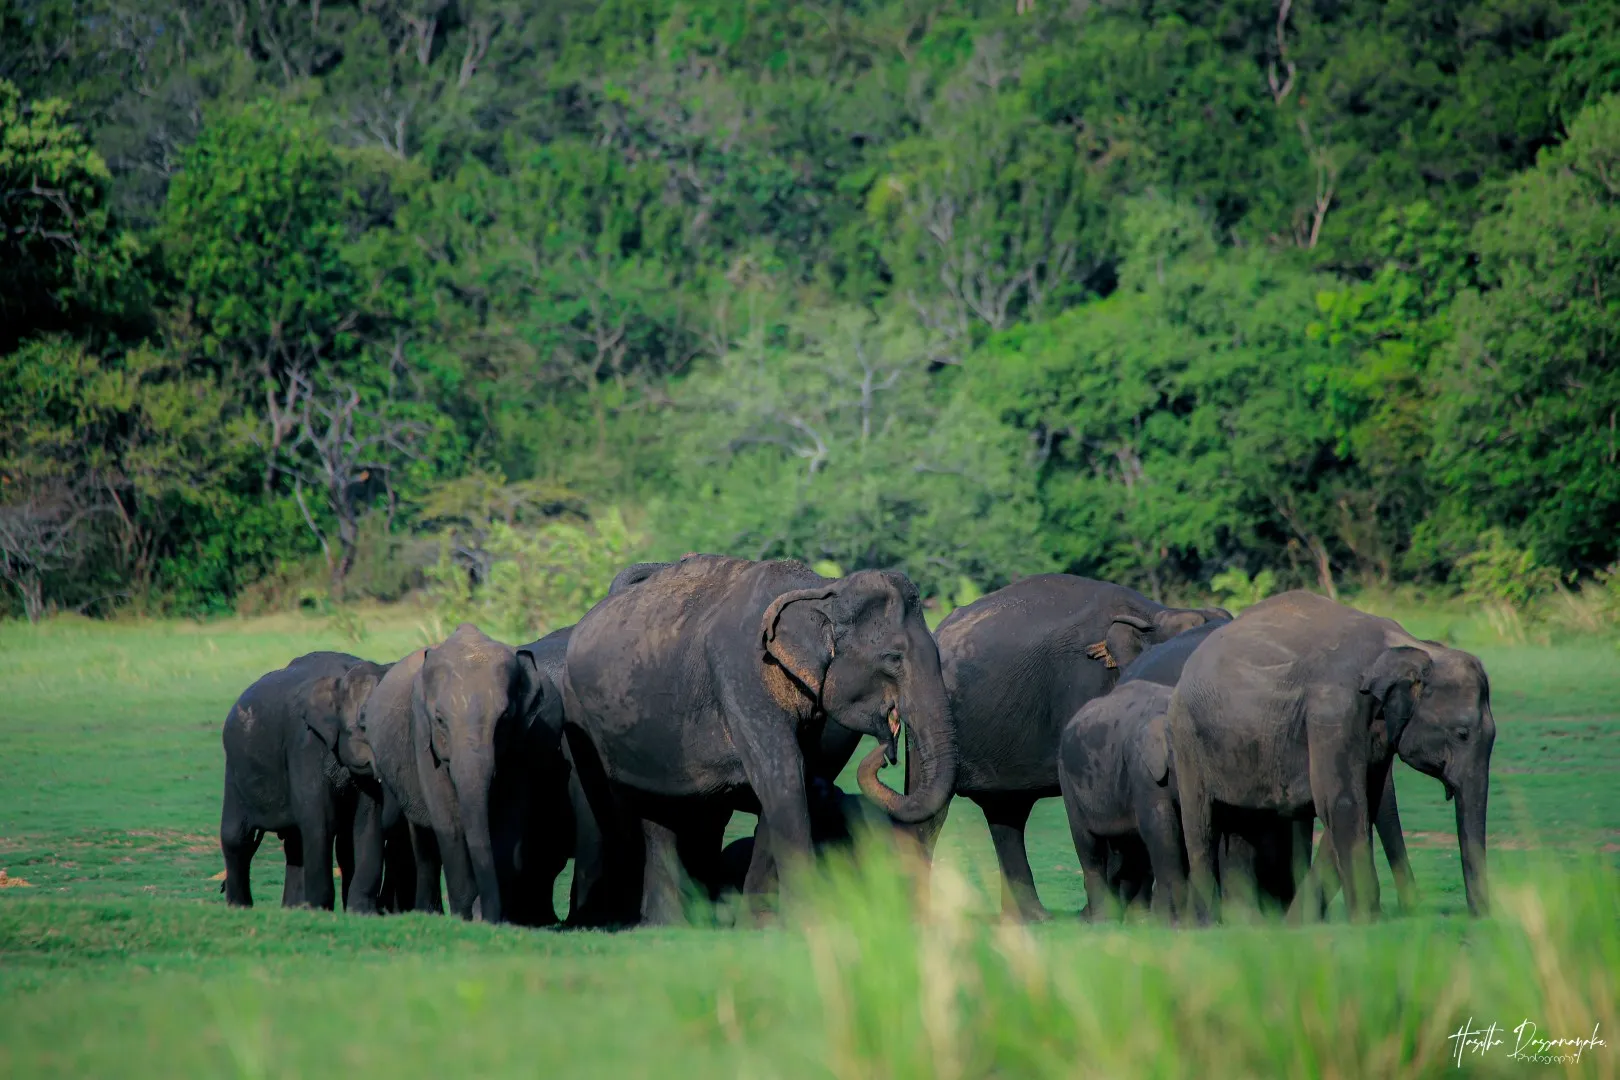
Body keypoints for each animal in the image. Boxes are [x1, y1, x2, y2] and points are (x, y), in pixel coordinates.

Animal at [220, 651, 378, 910]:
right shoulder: (305, 744)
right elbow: (321, 821)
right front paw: (319, 910)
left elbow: (365, 822)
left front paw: (362, 912)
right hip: (234, 767)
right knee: (236, 837)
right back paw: (240, 907)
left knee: (295, 843)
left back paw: (292, 909)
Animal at [562, 555, 957, 924]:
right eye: (893, 658)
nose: (889, 747)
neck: (821, 588)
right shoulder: (742, 673)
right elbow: (782, 774)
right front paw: (804, 922)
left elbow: (798, 780)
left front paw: (759, 925)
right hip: (577, 714)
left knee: (659, 811)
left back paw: (666, 924)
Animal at [917, 575, 1229, 920]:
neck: (1152, 612)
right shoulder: (1086, 687)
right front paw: (1104, 913)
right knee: (934, 811)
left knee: (1006, 813)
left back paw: (1031, 917)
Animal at [1169, 590, 1494, 921]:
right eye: (1462, 733)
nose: (1480, 916)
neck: (1410, 647)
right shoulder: (1333, 711)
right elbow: (1343, 801)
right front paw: (1367, 921)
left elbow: (1363, 800)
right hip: (1187, 740)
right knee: (1202, 826)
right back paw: (1209, 922)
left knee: (1243, 825)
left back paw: (1247, 922)